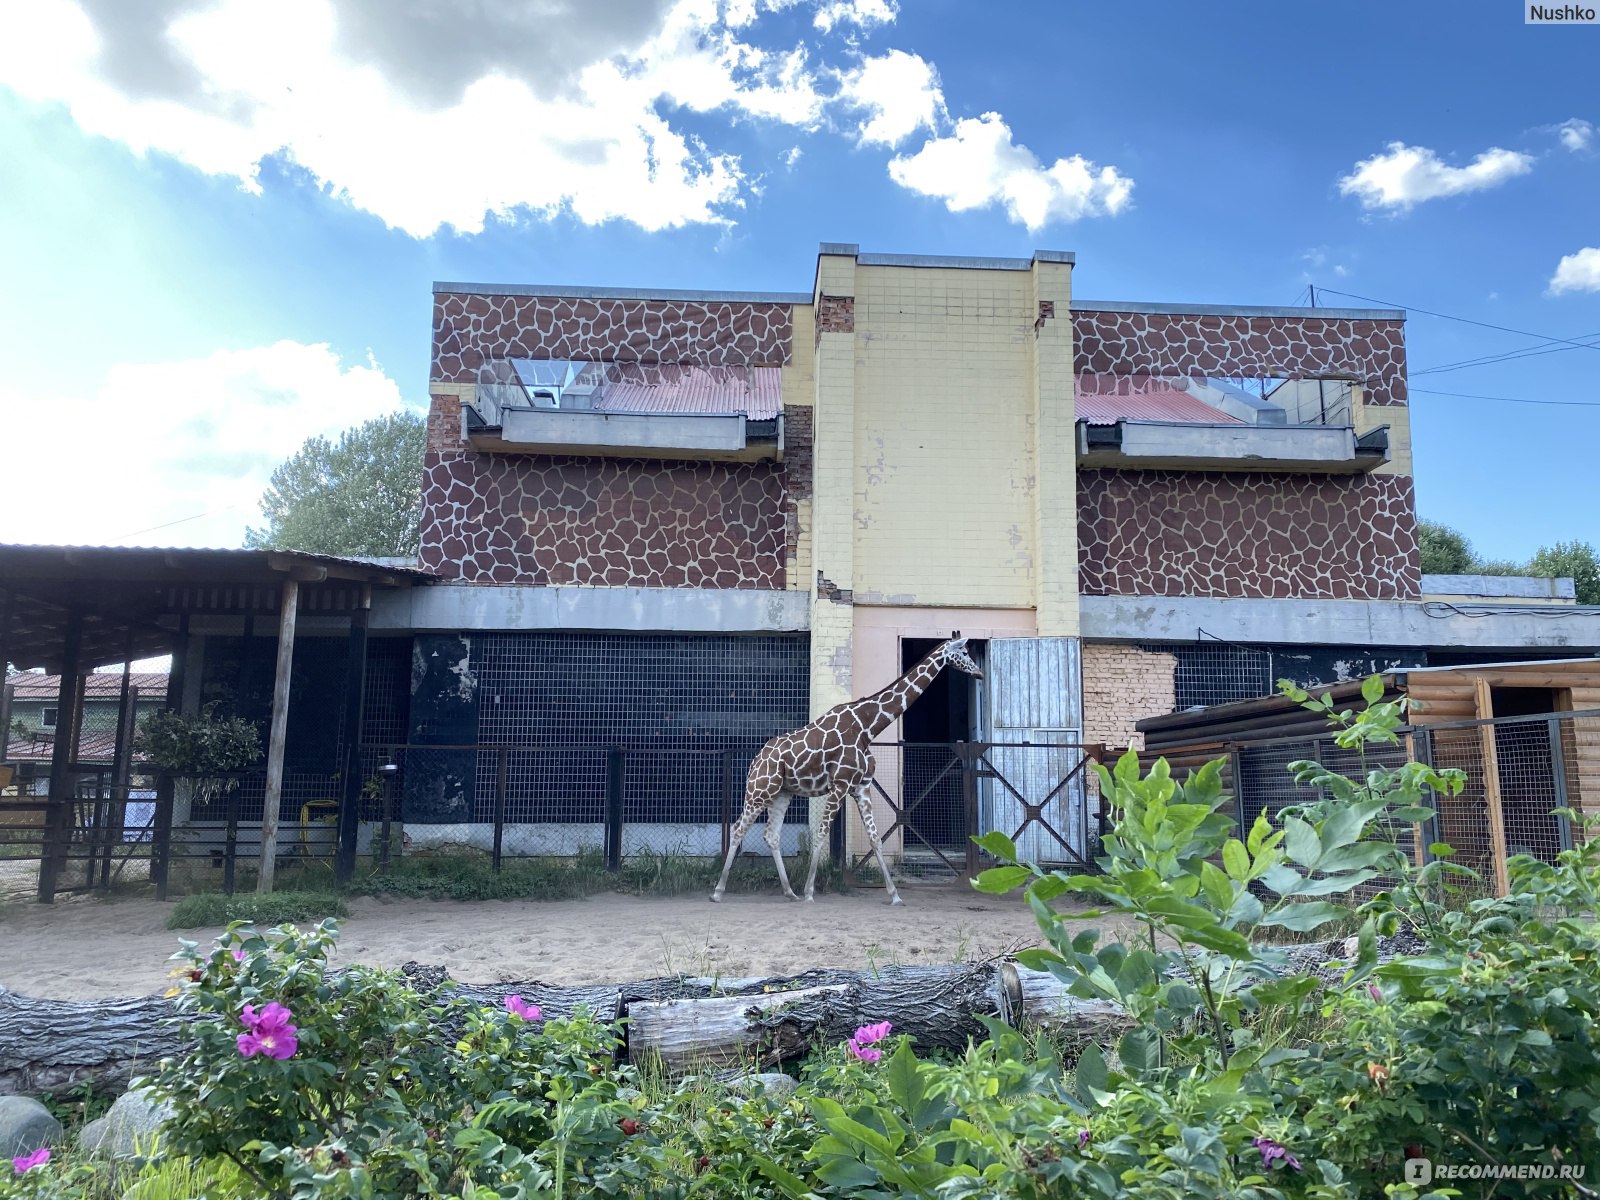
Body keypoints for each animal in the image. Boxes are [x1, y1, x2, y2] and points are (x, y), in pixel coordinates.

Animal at [710, 640, 979, 902]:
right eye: (965, 652)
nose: (980, 673)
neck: (867, 727)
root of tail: (755, 760)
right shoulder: (839, 785)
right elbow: (821, 834)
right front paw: (810, 892)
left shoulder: (861, 786)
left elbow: (875, 839)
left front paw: (894, 895)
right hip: (760, 790)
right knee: (738, 828)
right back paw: (718, 892)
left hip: (782, 793)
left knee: (771, 834)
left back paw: (789, 892)